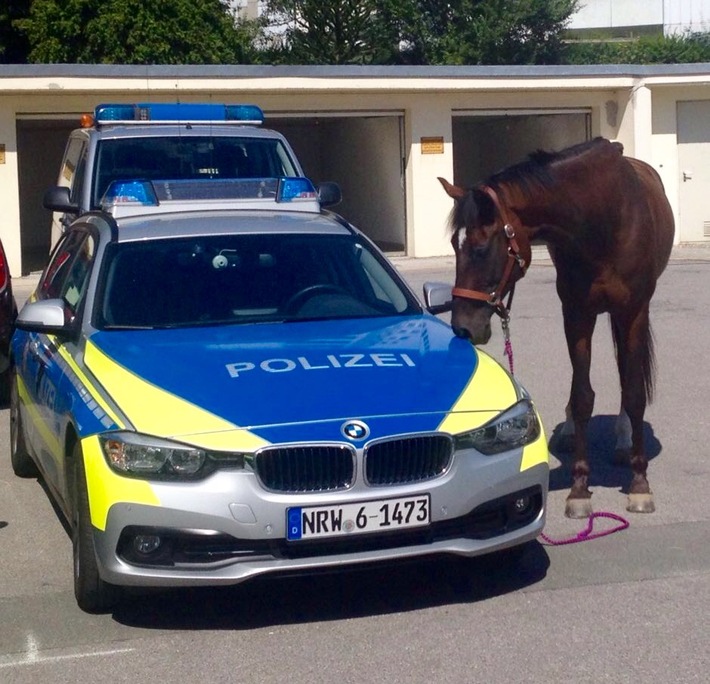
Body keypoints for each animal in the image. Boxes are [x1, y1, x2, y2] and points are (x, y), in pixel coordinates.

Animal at [442, 136, 676, 516]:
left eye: (481, 247)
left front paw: (640, 484)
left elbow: (634, 391)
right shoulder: (576, 312)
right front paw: (579, 489)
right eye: (453, 244)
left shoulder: (634, 311)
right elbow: (581, 397)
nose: (463, 326)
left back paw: (624, 439)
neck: (603, 218)